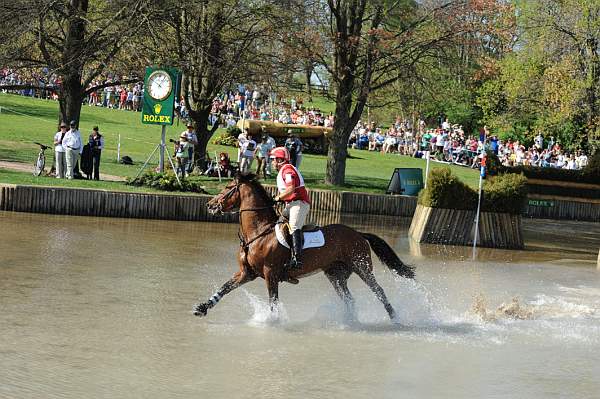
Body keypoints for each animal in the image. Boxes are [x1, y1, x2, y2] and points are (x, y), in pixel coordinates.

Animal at [195, 174, 414, 322]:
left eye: (228, 187)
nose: (210, 205)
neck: (258, 233)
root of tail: (358, 233)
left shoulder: (270, 274)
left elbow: (273, 301)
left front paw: (272, 321)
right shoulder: (246, 273)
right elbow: (225, 288)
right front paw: (203, 307)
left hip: (362, 267)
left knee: (378, 291)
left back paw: (395, 317)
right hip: (335, 275)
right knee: (349, 299)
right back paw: (349, 320)